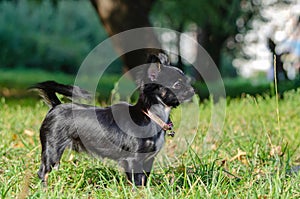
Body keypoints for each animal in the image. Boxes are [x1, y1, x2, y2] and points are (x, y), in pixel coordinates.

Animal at [31, 53, 195, 187]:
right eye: (178, 85)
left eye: (188, 81)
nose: (192, 90)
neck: (151, 115)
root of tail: (56, 105)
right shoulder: (133, 160)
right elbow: (136, 182)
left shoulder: (148, 160)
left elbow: (144, 180)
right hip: (52, 149)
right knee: (43, 172)